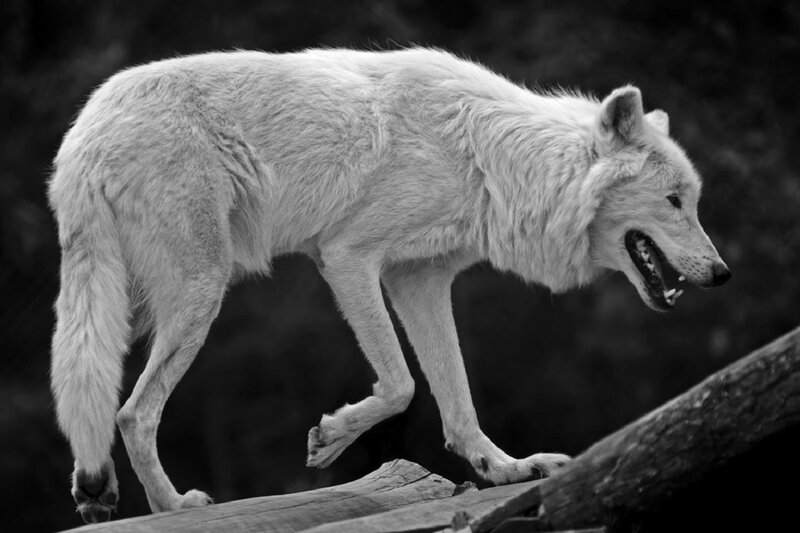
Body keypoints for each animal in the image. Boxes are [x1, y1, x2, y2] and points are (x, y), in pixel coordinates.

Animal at [49, 48, 730, 523]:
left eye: (694, 202)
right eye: (674, 201)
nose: (722, 273)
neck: (488, 161)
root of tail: (85, 131)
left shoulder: (419, 282)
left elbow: (457, 402)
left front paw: (503, 468)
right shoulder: (348, 259)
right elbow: (402, 385)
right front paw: (330, 440)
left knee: (101, 393)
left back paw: (101, 493)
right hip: (201, 293)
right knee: (133, 412)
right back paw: (173, 507)